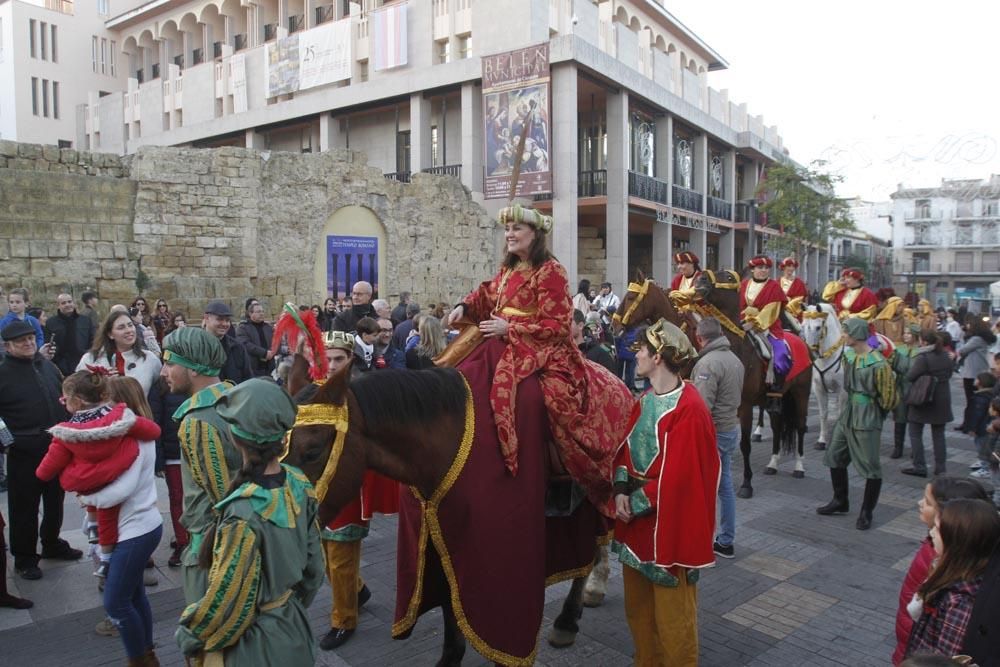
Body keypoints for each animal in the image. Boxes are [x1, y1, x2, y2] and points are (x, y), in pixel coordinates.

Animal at [696, 270, 812, 496]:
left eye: (728, 277)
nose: (700, 278)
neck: (735, 348)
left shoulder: (745, 406)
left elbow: (744, 444)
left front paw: (746, 484)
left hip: (801, 394)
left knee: (801, 427)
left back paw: (799, 467)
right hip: (775, 400)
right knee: (777, 426)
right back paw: (773, 464)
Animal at [800, 306, 848, 452]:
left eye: (818, 327)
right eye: (803, 326)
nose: (810, 352)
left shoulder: (842, 391)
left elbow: (840, 414)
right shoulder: (819, 389)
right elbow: (823, 414)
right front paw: (821, 441)